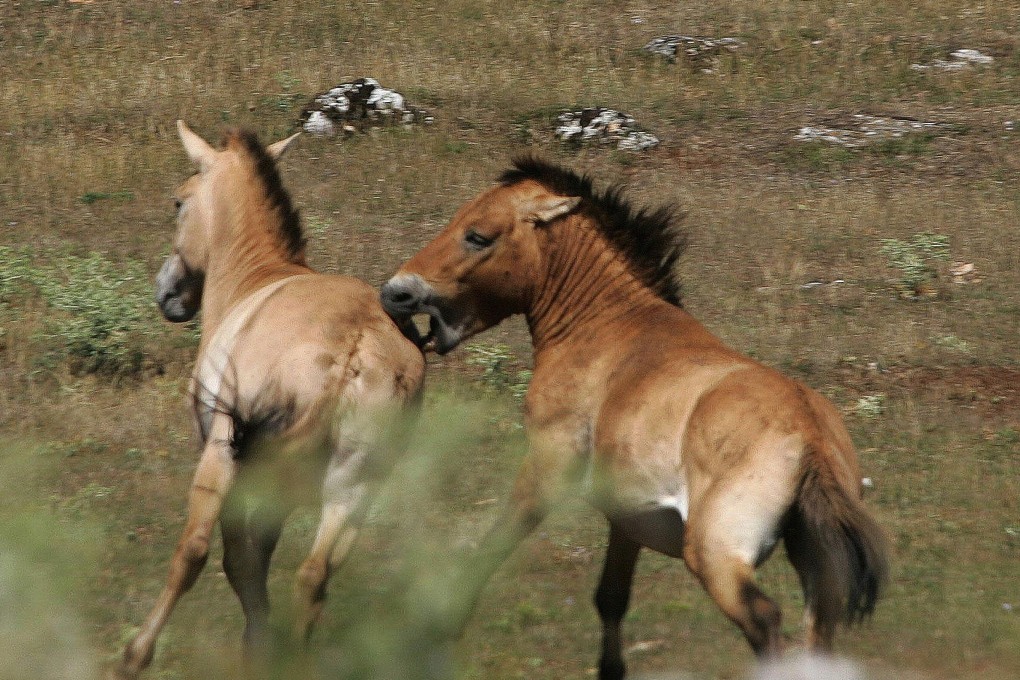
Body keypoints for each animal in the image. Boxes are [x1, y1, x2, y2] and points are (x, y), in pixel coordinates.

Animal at [112, 121, 425, 679]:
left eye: (179, 201)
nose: (167, 291)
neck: (260, 278)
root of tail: (351, 346)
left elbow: (230, 559)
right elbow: (253, 566)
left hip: (227, 455)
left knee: (195, 552)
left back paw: (135, 654)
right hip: (354, 484)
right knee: (313, 575)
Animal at [380, 156, 889, 679]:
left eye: (477, 236)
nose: (395, 293)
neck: (607, 327)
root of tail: (810, 437)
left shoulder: (544, 472)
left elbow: (490, 548)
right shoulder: (627, 519)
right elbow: (611, 599)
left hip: (715, 557)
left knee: (764, 620)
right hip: (816, 572)